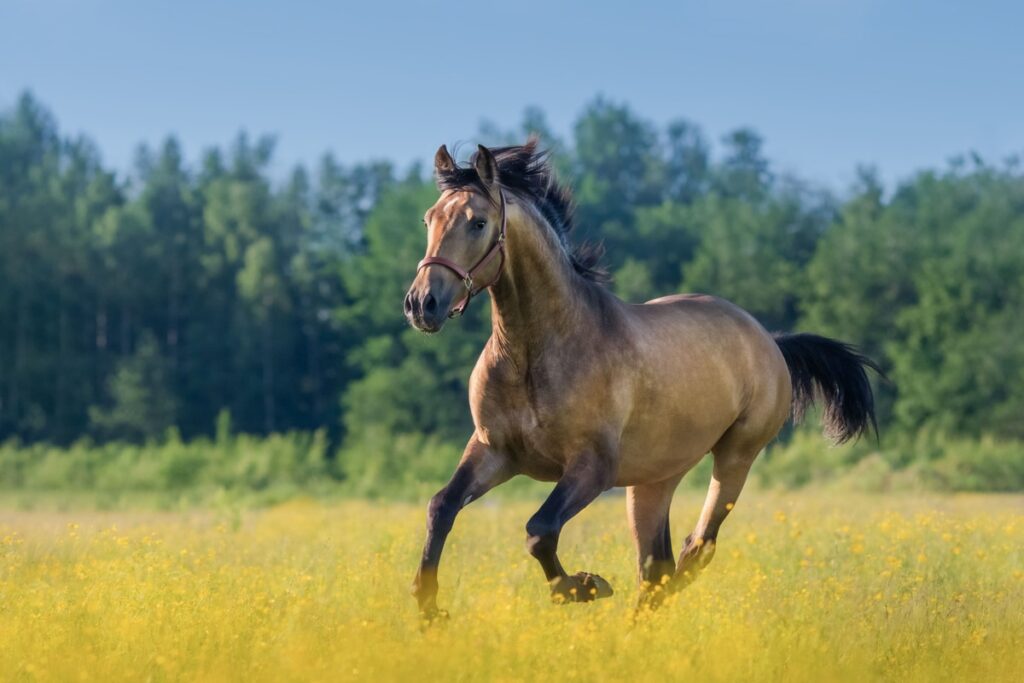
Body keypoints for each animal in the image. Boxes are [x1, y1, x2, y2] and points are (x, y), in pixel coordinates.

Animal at [399, 139, 880, 618]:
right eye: (429, 218)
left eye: (478, 222)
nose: (422, 304)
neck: (533, 354)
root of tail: (769, 340)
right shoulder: (493, 451)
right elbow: (440, 507)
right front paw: (429, 608)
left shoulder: (592, 466)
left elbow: (539, 529)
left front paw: (584, 586)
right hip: (654, 479)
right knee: (656, 565)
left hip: (736, 455)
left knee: (695, 548)